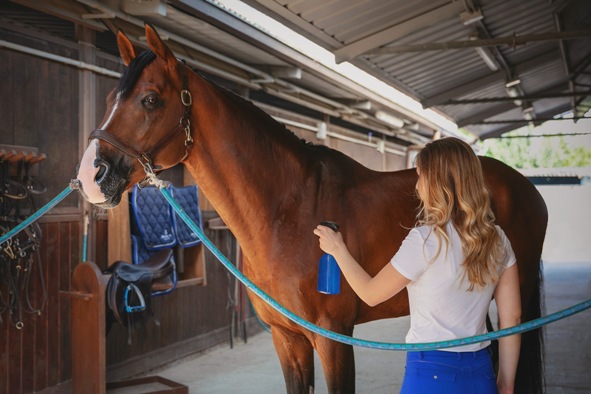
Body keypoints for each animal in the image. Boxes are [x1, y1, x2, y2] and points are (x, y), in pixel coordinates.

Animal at [76, 24, 548, 394]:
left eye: (150, 100)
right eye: (110, 99)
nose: (90, 176)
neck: (287, 211)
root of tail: (526, 186)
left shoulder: (334, 339)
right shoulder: (287, 338)